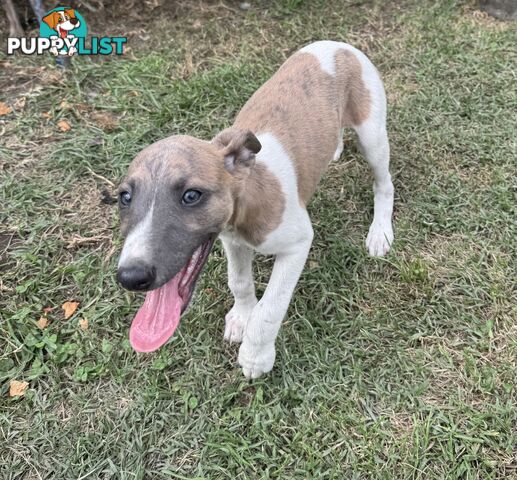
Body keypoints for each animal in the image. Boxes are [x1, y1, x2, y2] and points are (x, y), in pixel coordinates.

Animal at [117, 40, 394, 378]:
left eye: (191, 195)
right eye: (125, 197)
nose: (130, 276)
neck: (248, 198)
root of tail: (337, 45)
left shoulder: (298, 244)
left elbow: (270, 308)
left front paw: (255, 356)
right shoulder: (232, 241)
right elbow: (239, 281)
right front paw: (240, 316)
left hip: (373, 135)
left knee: (384, 183)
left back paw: (380, 232)